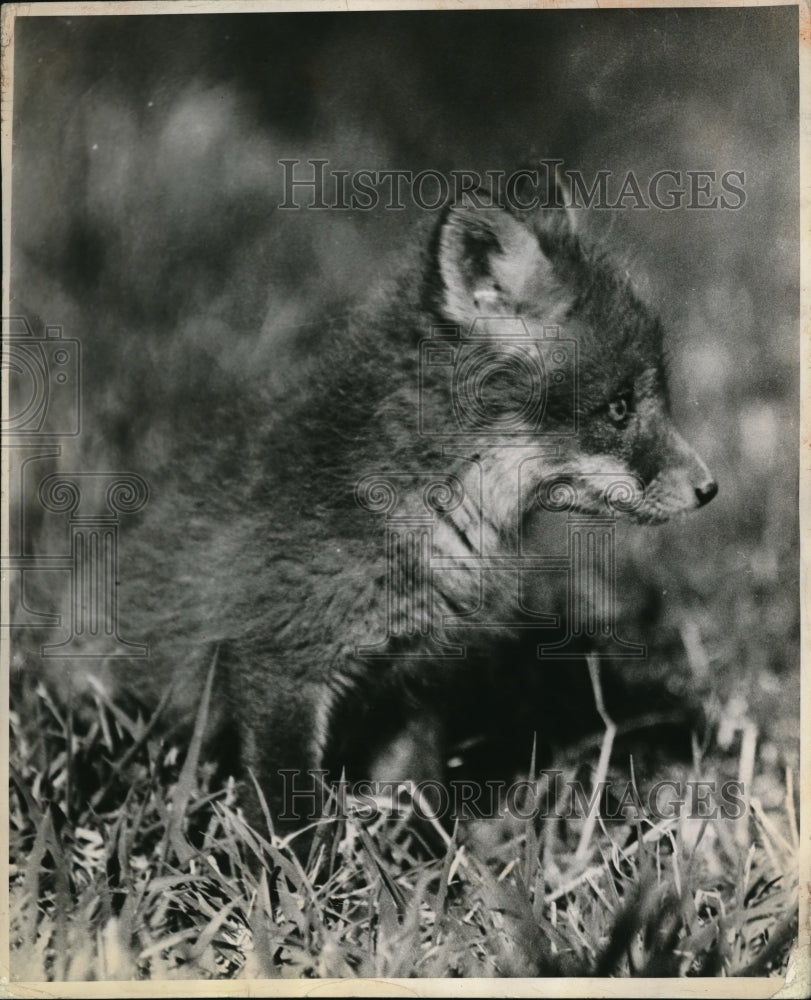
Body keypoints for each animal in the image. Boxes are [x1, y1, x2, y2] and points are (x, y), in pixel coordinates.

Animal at [42, 184, 716, 832]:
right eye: (619, 407)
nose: (710, 490)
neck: (434, 513)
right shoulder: (279, 662)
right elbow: (289, 811)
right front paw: (290, 870)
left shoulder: (415, 679)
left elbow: (417, 794)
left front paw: (430, 861)